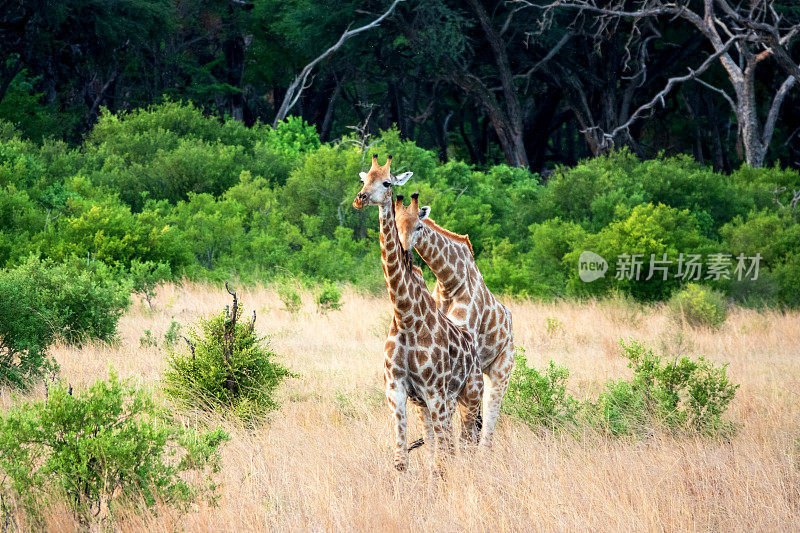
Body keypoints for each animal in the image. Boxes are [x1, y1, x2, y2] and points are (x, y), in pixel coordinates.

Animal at [354, 154, 482, 470]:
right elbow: (402, 459)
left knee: (465, 443)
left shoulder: (435, 392)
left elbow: (442, 457)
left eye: (386, 182)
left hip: (469, 394)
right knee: (444, 444)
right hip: (430, 404)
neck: (405, 314)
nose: (360, 199)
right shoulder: (397, 390)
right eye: (364, 179)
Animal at [392, 193, 516, 446]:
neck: (450, 281)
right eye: (396, 225)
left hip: (501, 370)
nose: (404, 252)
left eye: (419, 226)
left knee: (487, 425)